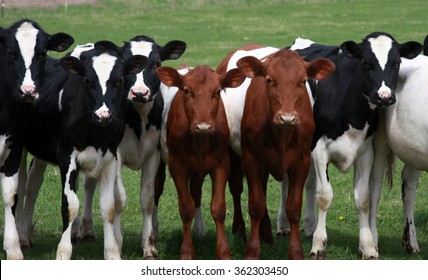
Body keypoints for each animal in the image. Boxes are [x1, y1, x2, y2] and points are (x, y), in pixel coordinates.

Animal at [0, 19, 73, 260]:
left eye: (41, 54)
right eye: (11, 53)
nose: (28, 91)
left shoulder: (13, 145)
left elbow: (12, 194)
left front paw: (13, 248)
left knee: (29, 185)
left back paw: (23, 236)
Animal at [155, 64, 246, 260]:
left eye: (217, 91)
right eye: (187, 91)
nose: (203, 126)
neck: (200, 141)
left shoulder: (221, 164)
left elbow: (218, 209)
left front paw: (223, 252)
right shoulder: (177, 165)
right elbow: (186, 208)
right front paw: (187, 252)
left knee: (196, 192)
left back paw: (199, 228)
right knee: (156, 190)